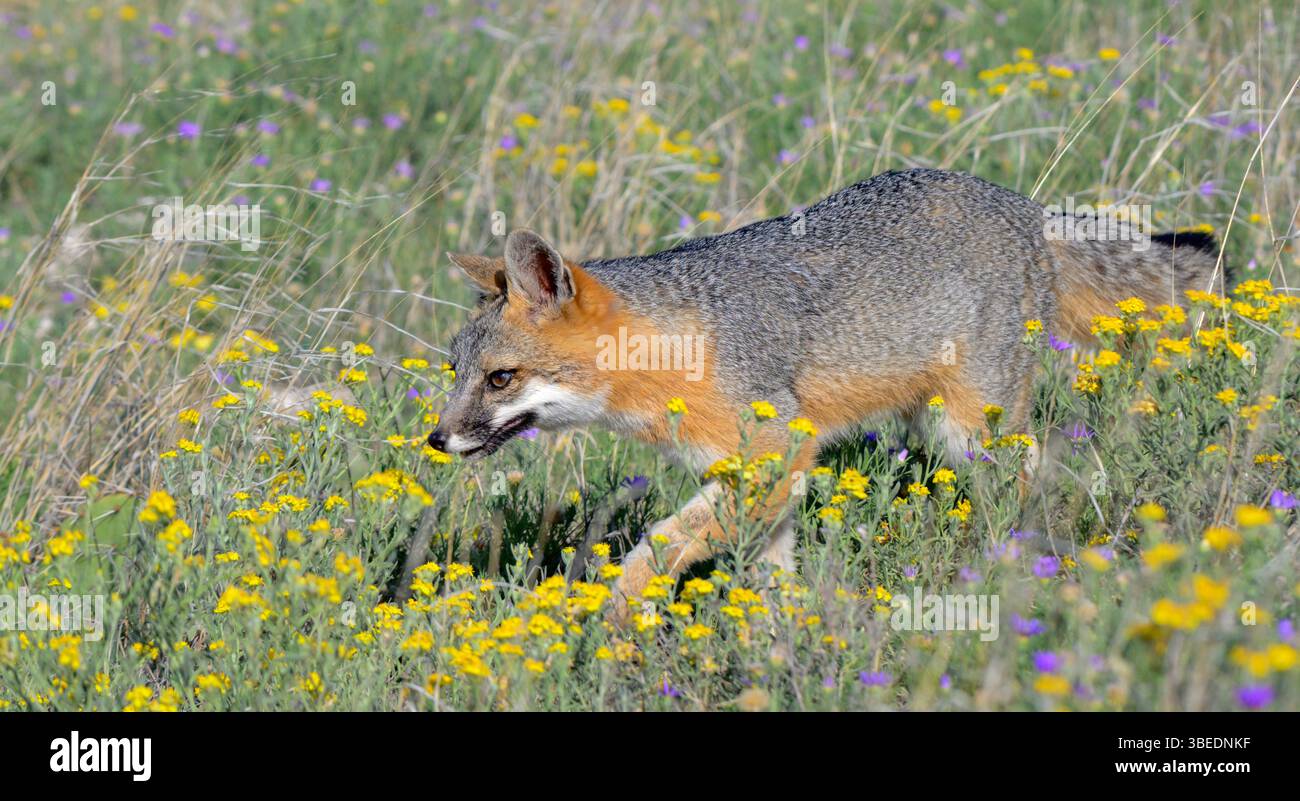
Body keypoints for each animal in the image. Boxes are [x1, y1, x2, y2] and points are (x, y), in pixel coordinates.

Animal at [427, 167, 1218, 618]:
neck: (676, 340)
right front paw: (780, 641)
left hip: (972, 433)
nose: (435, 440)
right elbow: (769, 573)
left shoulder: (776, 455)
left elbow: (656, 547)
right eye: (455, 373)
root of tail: (1023, 204)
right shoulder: (761, 478)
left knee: (1027, 487)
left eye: (500, 378)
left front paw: (610, 615)